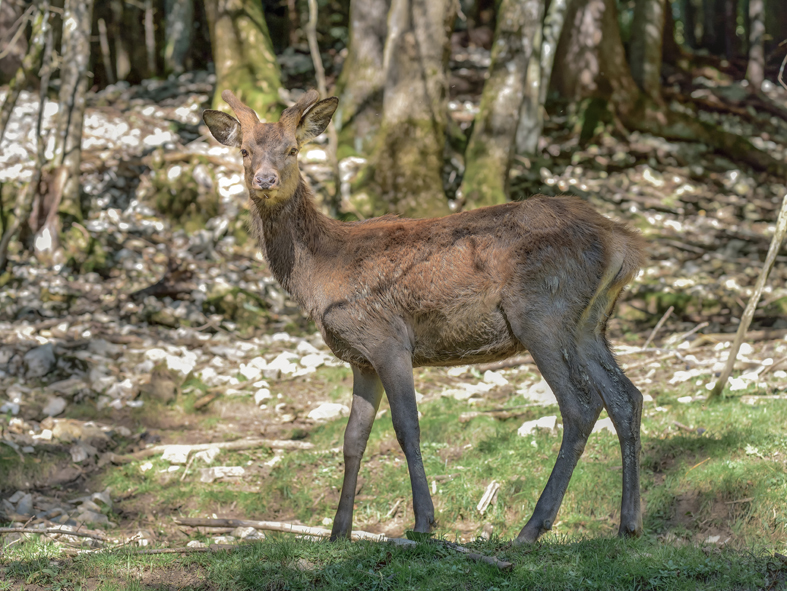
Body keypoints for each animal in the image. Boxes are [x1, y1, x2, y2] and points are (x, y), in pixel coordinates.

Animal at [203, 89, 648, 544]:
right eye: (245, 150)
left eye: (292, 149)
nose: (265, 180)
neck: (322, 274)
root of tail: (623, 242)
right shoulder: (361, 359)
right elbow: (353, 438)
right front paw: (339, 530)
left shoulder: (387, 340)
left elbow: (407, 428)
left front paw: (423, 522)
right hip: (589, 324)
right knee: (626, 396)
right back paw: (628, 522)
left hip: (541, 312)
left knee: (581, 404)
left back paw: (532, 527)